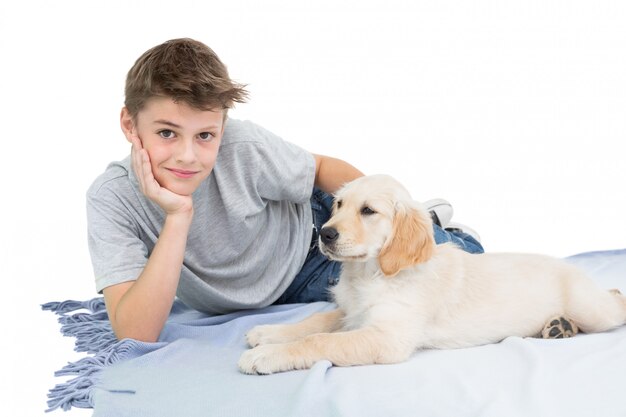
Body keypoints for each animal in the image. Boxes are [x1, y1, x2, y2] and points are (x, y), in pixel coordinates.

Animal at [236, 175, 620, 374]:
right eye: (340, 205)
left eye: (368, 211)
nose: (325, 234)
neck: (371, 273)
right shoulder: (352, 312)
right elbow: (317, 322)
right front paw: (270, 333)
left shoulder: (388, 336)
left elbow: (320, 340)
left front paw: (266, 355)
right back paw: (559, 326)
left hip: (592, 309)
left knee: (616, 302)